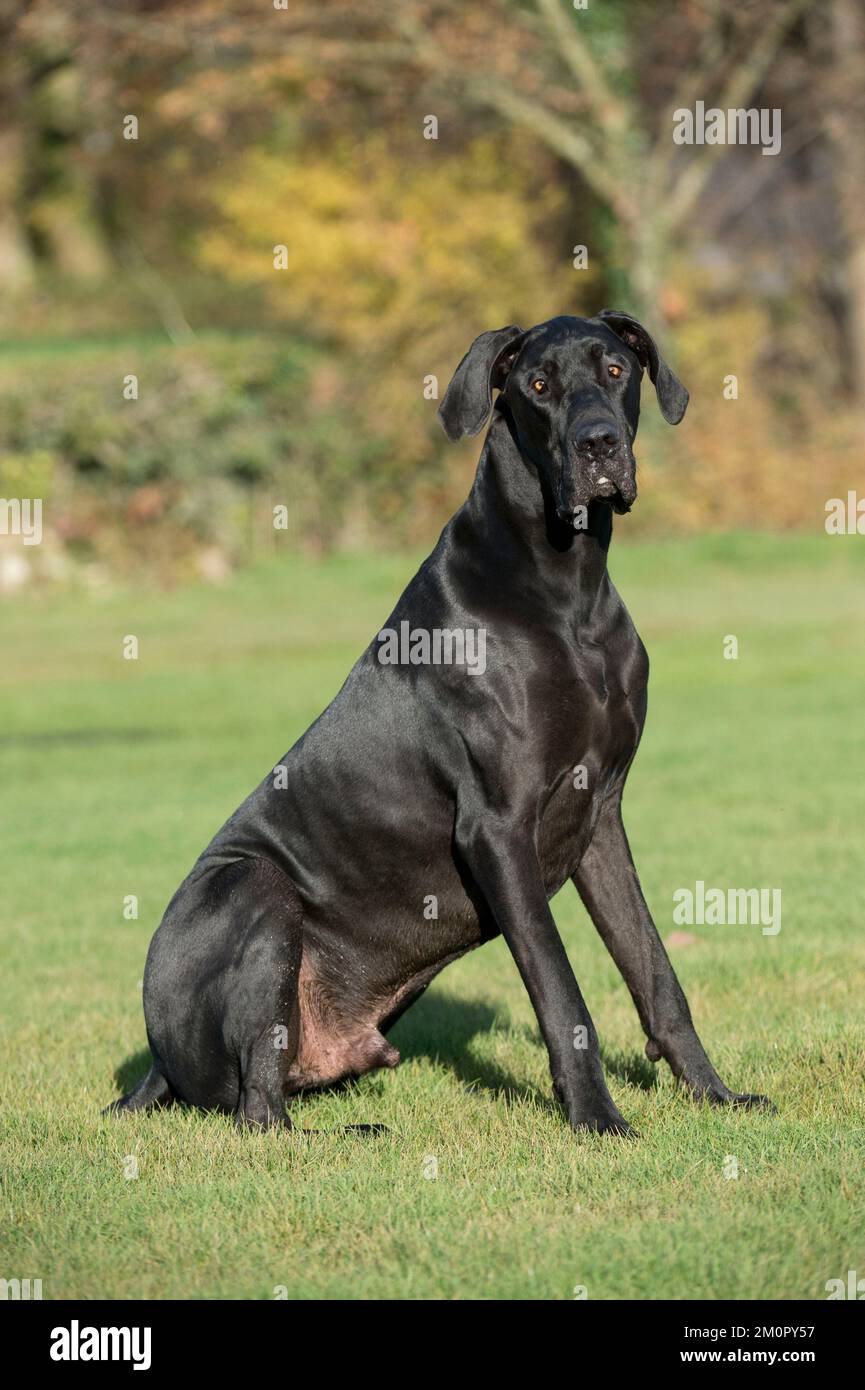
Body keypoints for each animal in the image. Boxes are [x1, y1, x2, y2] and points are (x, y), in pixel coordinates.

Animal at [107, 312, 773, 1128]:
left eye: (615, 370)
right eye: (537, 385)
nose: (598, 445)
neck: (568, 588)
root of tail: (155, 1062)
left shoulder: (602, 817)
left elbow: (655, 971)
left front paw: (714, 1094)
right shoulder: (495, 828)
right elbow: (561, 991)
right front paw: (596, 1118)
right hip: (253, 888)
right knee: (257, 1111)